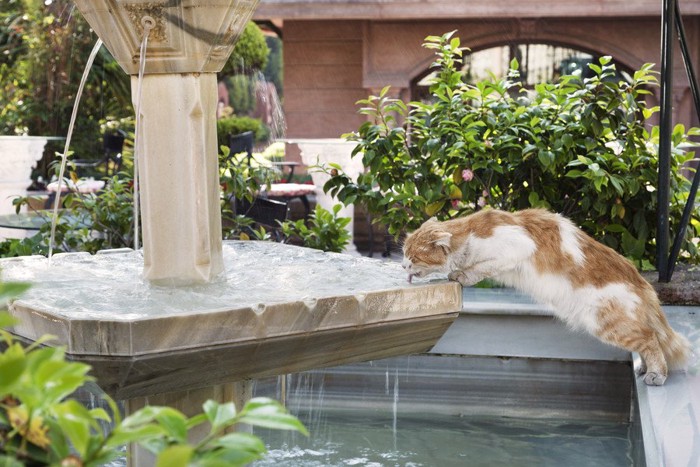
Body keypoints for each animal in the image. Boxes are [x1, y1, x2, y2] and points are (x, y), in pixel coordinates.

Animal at [402, 209, 692, 388]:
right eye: (404, 252)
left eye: (413, 257)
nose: (403, 265)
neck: (470, 233)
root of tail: (641, 281)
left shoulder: (516, 246)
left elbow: (479, 268)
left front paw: (461, 274)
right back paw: (643, 367)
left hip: (606, 324)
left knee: (650, 338)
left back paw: (656, 374)